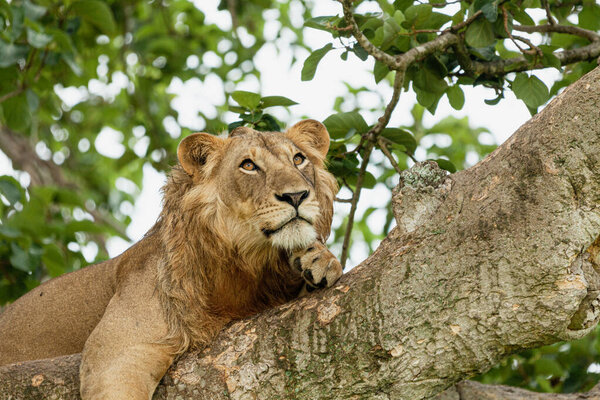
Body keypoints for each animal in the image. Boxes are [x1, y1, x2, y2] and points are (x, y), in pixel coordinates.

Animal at [0, 119, 342, 400]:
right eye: (248, 165)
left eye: (298, 159)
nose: (296, 196)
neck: (248, 265)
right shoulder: (117, 351)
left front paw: (319, 261)